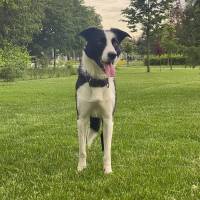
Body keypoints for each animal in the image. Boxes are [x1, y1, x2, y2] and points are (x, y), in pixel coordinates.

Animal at [76, 27, 130, 173]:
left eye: (115, 43)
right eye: (100, 42)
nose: (112, 55)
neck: (97, 81)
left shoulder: (107, 119)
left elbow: (107, 150)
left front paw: (107, 170)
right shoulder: (81, 119)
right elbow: (82, 149)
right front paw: (81, 167)